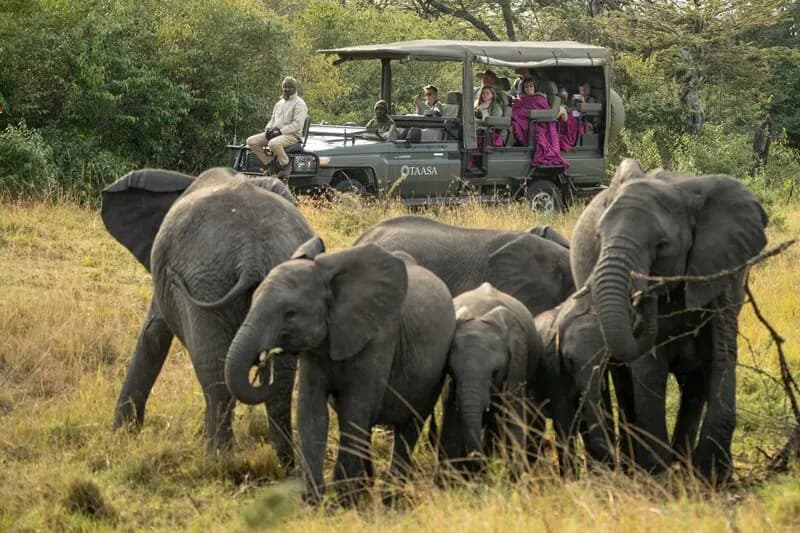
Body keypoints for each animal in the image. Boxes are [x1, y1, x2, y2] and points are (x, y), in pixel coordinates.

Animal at [102, 167, 313, 462]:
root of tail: (252, 253)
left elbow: (152, 335)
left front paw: (120, 436)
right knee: (279, 383)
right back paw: (287, 465)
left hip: (205, 279)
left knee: (214, 372)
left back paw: (217, 459)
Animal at [224, 238, 456, 502]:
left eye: (290, 314)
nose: (264, 363)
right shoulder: (315, 351)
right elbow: (311, 410)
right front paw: (315, 501)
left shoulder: (379, 338)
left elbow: (355, 408)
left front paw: (342, 500)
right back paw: (367, 490)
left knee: (409, 427)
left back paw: (389, 498)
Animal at [438, 283, 544, 471]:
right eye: (453, 373)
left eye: (495, 373)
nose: (474, 458)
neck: (479, 313)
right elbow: (451, 424)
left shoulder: (518, 360)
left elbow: (513, 416)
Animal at [570, 159, 768, 482]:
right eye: (599, 238)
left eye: (661, 246)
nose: (641, 299)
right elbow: (649, 365)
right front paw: (657, 472)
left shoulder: (725, 268)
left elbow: (722, 352)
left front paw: (712, 474)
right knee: (622, 376)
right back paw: (637, 464)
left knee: (695, 383)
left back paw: (682, 462)